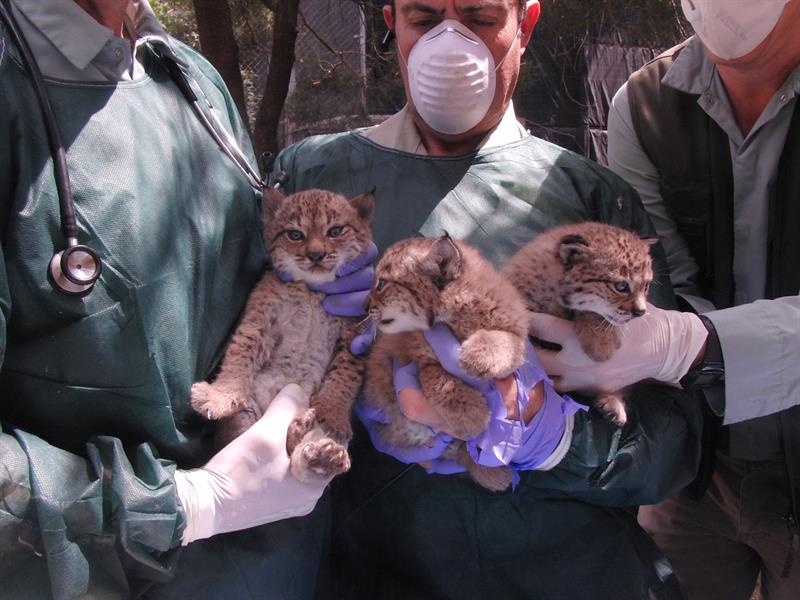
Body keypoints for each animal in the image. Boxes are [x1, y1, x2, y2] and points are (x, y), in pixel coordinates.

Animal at [191, 188, 376, 482]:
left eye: (335, 231)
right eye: (295, 235)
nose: (316, 255)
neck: (312, 290)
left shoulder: (355, 336)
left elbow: (344, 378)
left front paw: (333, 413)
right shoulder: (258, 322)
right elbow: (238, 355)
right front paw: (220, 395)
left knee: (300, 464)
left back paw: (323, 453)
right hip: (247, 414)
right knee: (249, 441)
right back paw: (301, 435)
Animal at [504, 221, 652, 426]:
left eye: (646, 286)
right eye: (621, 286)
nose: (641, 312)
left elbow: (593, 311)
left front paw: (600, 342)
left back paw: (613, 404)